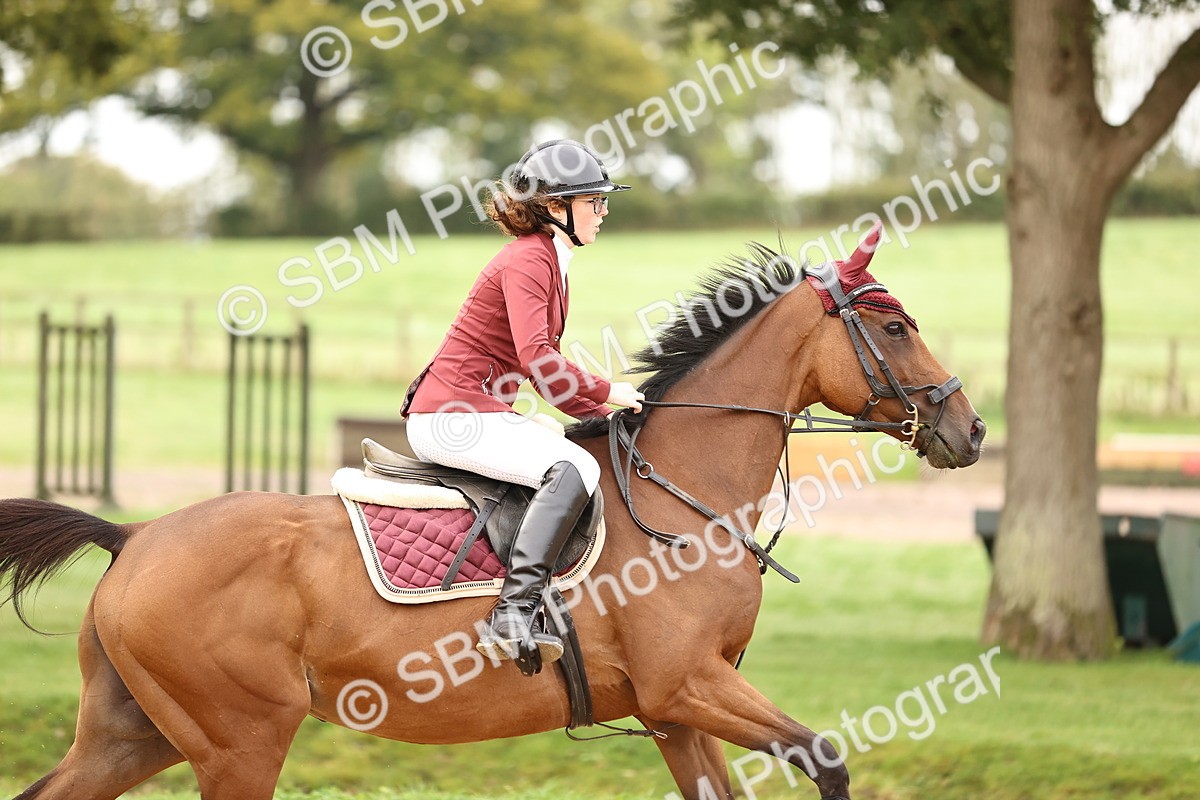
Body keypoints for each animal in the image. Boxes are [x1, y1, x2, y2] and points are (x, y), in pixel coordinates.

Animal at [1, 227, 984, 800]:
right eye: (895, 328)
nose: (968, 429)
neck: (682, 491)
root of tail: (134, 536)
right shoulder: (689, 685)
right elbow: (827, 758)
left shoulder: (675, 711)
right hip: (239, 742)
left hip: (134, 736)